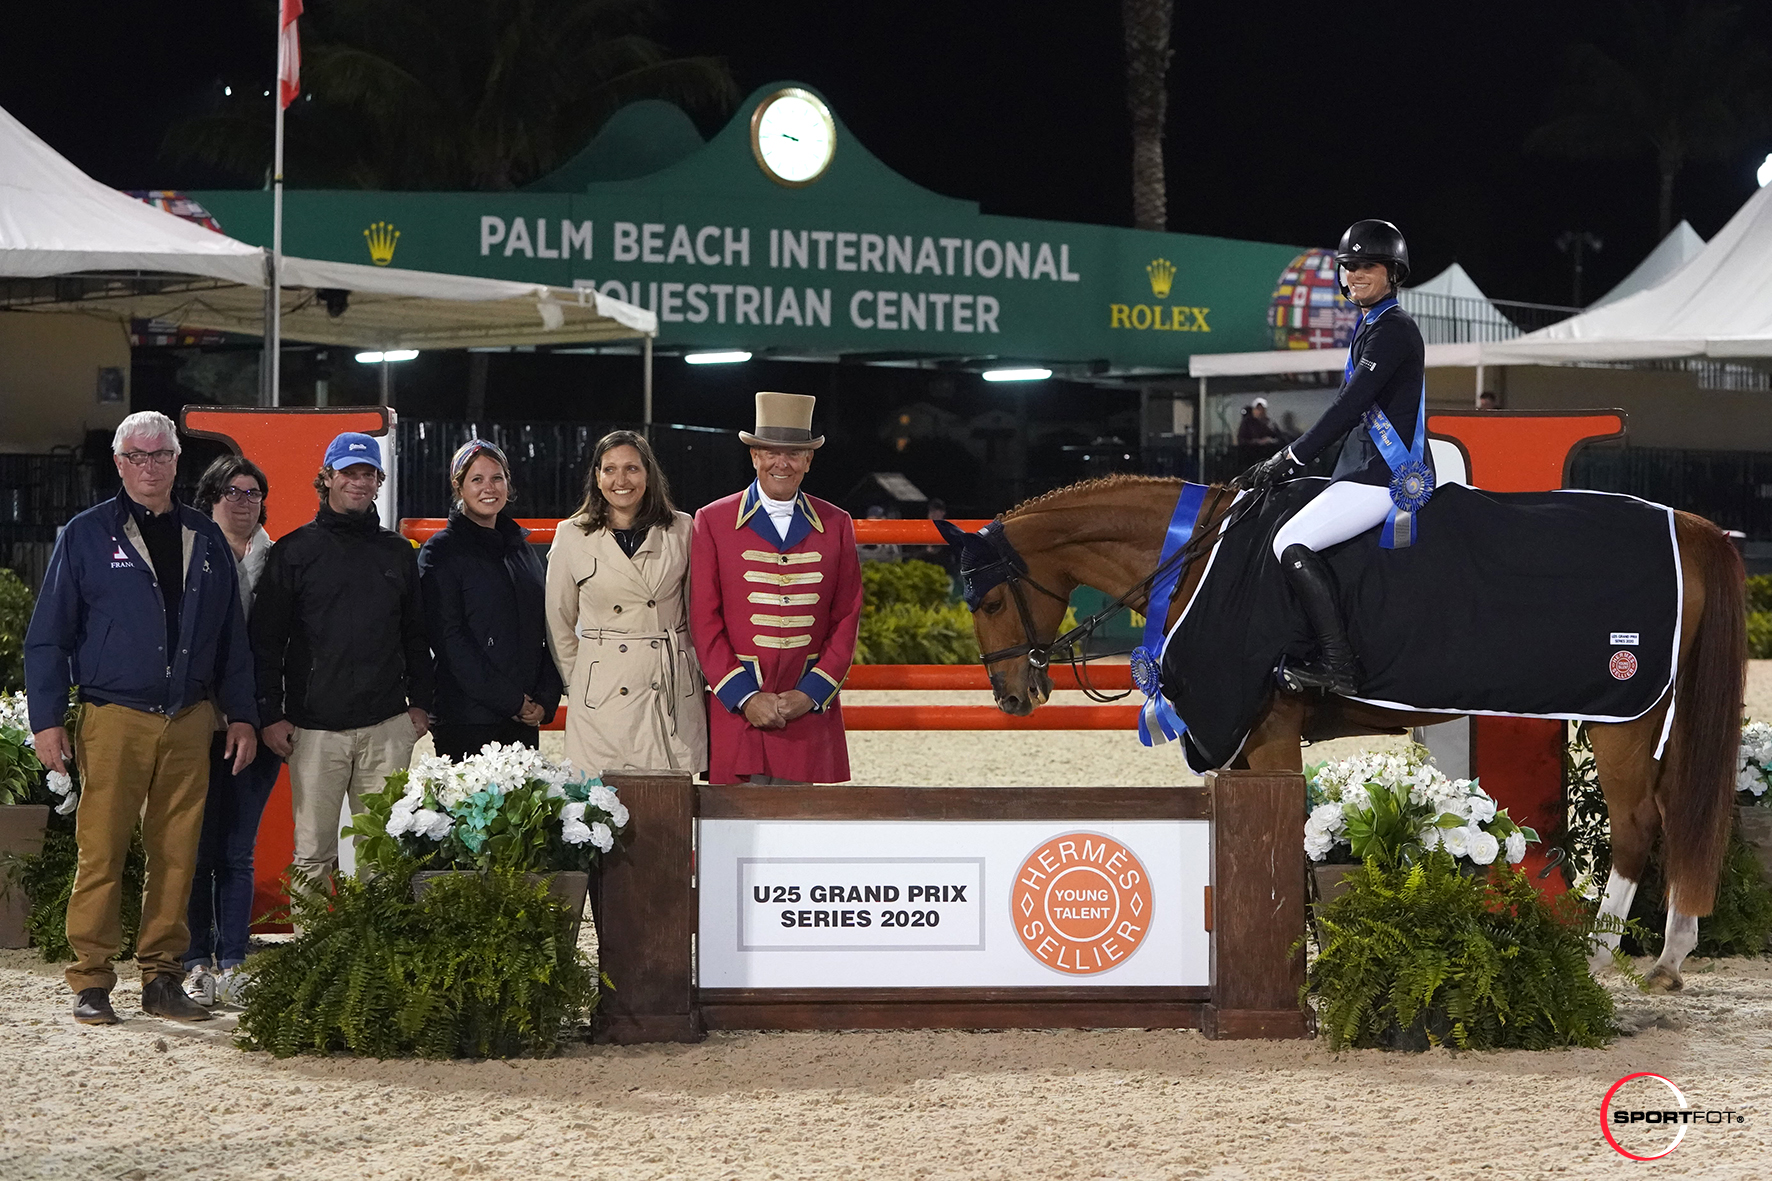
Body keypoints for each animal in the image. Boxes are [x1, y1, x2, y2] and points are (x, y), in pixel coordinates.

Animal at [949, 471, 1750, 985]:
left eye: (987, 600)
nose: (1012, 695)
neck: (1197, 559)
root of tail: (1690, 524)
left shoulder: (1269, 733)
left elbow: (1284, 846)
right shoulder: (1239, 740)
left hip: (1625, 711)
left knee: (1637, 823)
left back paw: (1600, 955)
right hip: (1659, 718)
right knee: (1678, 814)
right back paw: (1670, 956)